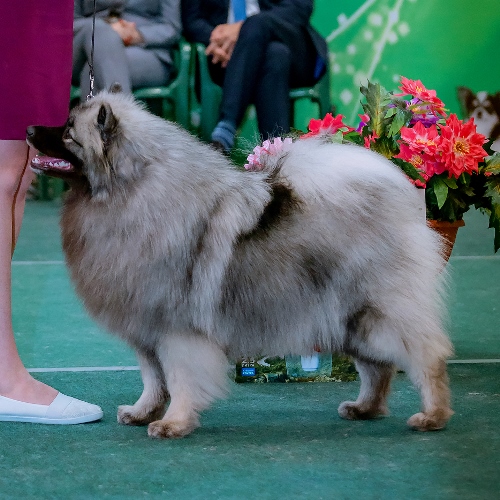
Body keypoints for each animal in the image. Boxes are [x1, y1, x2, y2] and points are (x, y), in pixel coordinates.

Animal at [29, 92, 456, 440]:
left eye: (68, 132)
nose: (30, 128)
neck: (130, 192)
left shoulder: (176, 330)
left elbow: (179, 380)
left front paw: (173, 423)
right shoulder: (146, 329)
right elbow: (153, 379)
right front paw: (142, 411)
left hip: (379, 311)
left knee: (425, 355)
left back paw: (432, 415)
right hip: (349, 319)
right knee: (378, 367)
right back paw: (366, 408)